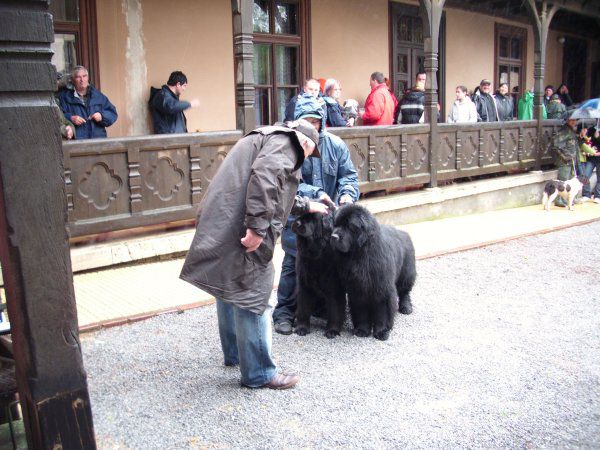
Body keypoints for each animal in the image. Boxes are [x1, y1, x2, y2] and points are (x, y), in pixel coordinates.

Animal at [328, 204, 418, 342]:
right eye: (335, 224)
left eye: (349, 226)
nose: (333, 237)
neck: (360, 256)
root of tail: (403, 233)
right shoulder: (357, 289)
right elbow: (361, 311)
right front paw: (362, 330)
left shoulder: (382, 288)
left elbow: (383, 312)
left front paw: (382, 331)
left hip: (407, 272)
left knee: (404, 291)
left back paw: (406, 307)